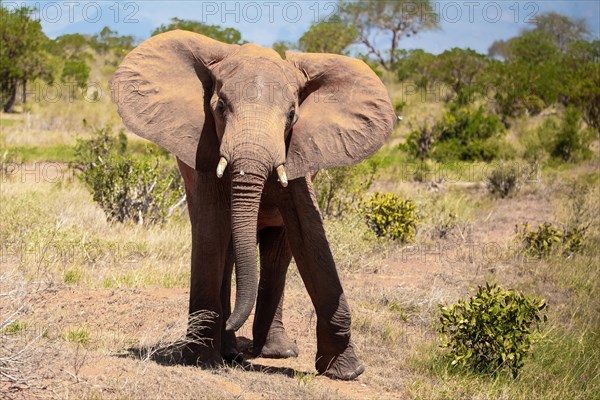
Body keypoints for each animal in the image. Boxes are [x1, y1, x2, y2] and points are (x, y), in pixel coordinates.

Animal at [110, 29, 396, 380]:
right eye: (220, 107)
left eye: (292, 115)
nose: (232, 324)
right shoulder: (206, 147)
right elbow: (211, 231)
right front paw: (201, 360)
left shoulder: (297, 154)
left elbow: (310, 236)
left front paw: (347, 372)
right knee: (227, 245)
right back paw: (231, 350)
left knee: (277, 253)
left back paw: (274, 351)